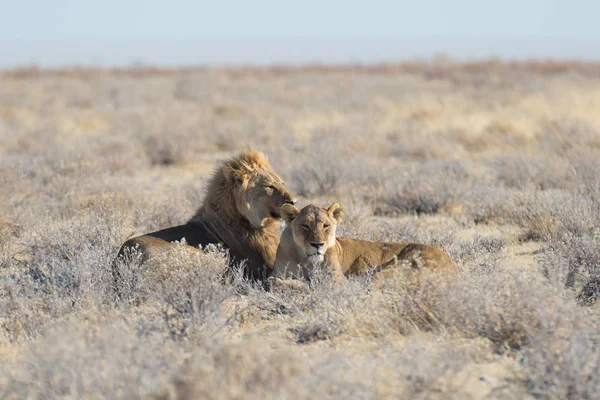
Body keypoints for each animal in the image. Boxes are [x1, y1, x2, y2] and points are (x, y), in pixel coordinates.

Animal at [274, 203, 460, 284]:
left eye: (326, 225)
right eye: (305, 226)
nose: (318, 244)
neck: (307, 260)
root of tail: (453, 266)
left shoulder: (336, 279)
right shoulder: (277, 274)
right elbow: (278, 283)